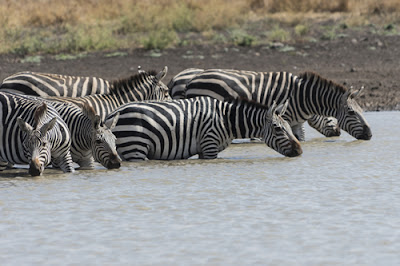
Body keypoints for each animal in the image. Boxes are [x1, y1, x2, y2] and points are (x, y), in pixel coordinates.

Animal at [104, 96, 302, 161]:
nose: (300, 151)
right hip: (135, 147)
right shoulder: (209, 144)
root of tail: (112, 113)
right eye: (278, 129)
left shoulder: (203, 149)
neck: (226, 120)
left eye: (288, 127)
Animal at [184, 69, 372, 142]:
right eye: (351, 112)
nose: (369, 135)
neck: (302, 97)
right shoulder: (284, 118)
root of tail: (193, 80)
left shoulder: (296, 124)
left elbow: (299, 139)